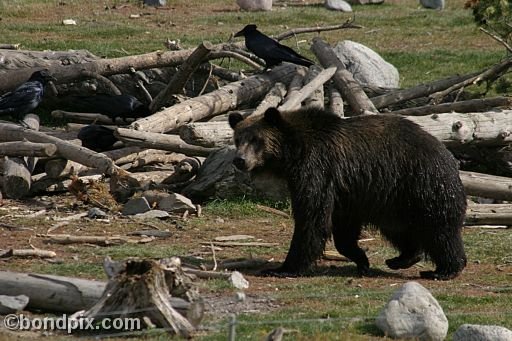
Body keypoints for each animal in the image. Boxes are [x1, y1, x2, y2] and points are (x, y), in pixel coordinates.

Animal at [229, 106, 468, 278]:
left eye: (256, 139)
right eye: (238, 139)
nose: (239, 160)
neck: (293, 153)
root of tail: (449, 156)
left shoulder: (317, 170)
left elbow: (312, 219)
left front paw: (283, 268)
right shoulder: (347, 192)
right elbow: (343, 229)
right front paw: (362, 260)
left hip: (421, 184)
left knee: (440, 229)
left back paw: (444, 269)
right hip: (393, 198)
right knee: (398, 228)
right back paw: (402, 258)